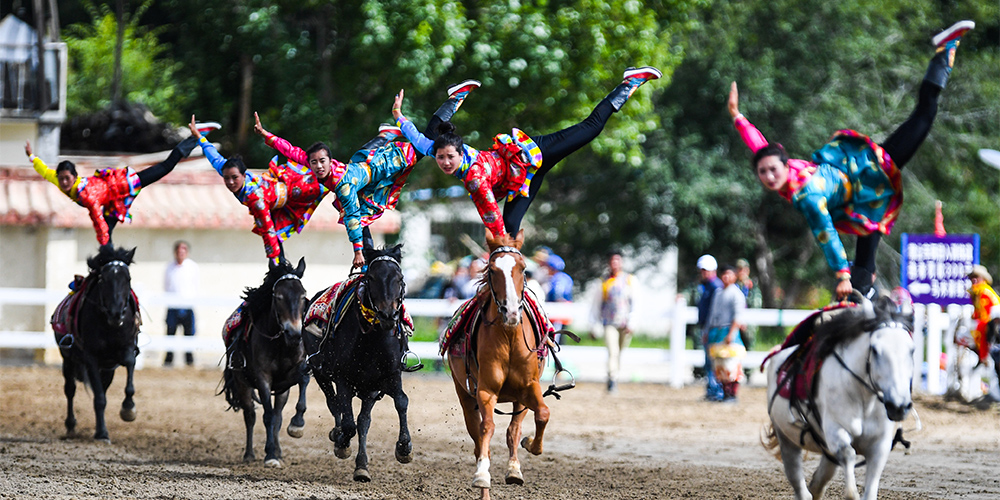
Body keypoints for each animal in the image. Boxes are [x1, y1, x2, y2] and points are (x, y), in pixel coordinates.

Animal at [56, 244, 141, 444]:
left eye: (128, 278)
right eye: (103, 279)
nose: (116, 313)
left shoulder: (127, 348)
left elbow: (129, 365)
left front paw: (128, 408)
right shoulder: (91, 357)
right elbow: (99, 399)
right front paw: (102, 434)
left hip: (107, 369)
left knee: (101, 389)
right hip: (68, 360)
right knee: (70, 390)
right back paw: (70, 425)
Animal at [222, 258, 308, 468]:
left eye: (303, 296)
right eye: (278, 297)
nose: (294, 333)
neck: (280, 343)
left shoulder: (290, 377)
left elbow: (302, 381)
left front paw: (297, 425)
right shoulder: (262, 379)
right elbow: (266, 416)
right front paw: (270, 456)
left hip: (282, 392)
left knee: (278, 415)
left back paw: (278, 450)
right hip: (242, 384)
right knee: (250, 415)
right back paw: (250, 454)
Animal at [304, 244, 414, 482]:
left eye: (400, 278)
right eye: (371, 277)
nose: (388, 315)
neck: (372, 339)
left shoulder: (390, 375)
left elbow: (401, 401)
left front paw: (404, 447)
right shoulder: (342, 378)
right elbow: (347, 421)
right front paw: (341, 442)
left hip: (369, 389)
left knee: (364, 421)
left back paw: (362, 466)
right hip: (320, 372)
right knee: (334, 404)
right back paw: (338, 436)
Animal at [450, 229, 552, 498]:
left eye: (523, 268)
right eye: (493, 270)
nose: (511, 312)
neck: (508, 335)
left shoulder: (529, 387)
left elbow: (542, 414)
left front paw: (530, 445)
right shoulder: (485, 391)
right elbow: (487, 428)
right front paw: (481, 475)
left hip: (519, 399)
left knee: (513, 430)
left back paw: (514, 469)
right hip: (464, 395)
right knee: (478, 438)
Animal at [764, 294, 916, 500]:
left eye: (912, 350)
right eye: (875, 350)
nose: (899, 406)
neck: (864, 399)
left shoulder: (880, 445)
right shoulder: (835, 431)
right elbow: (848, 455)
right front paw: (852, 492)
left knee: (820, 480)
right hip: (786, 438)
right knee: (799, 482)